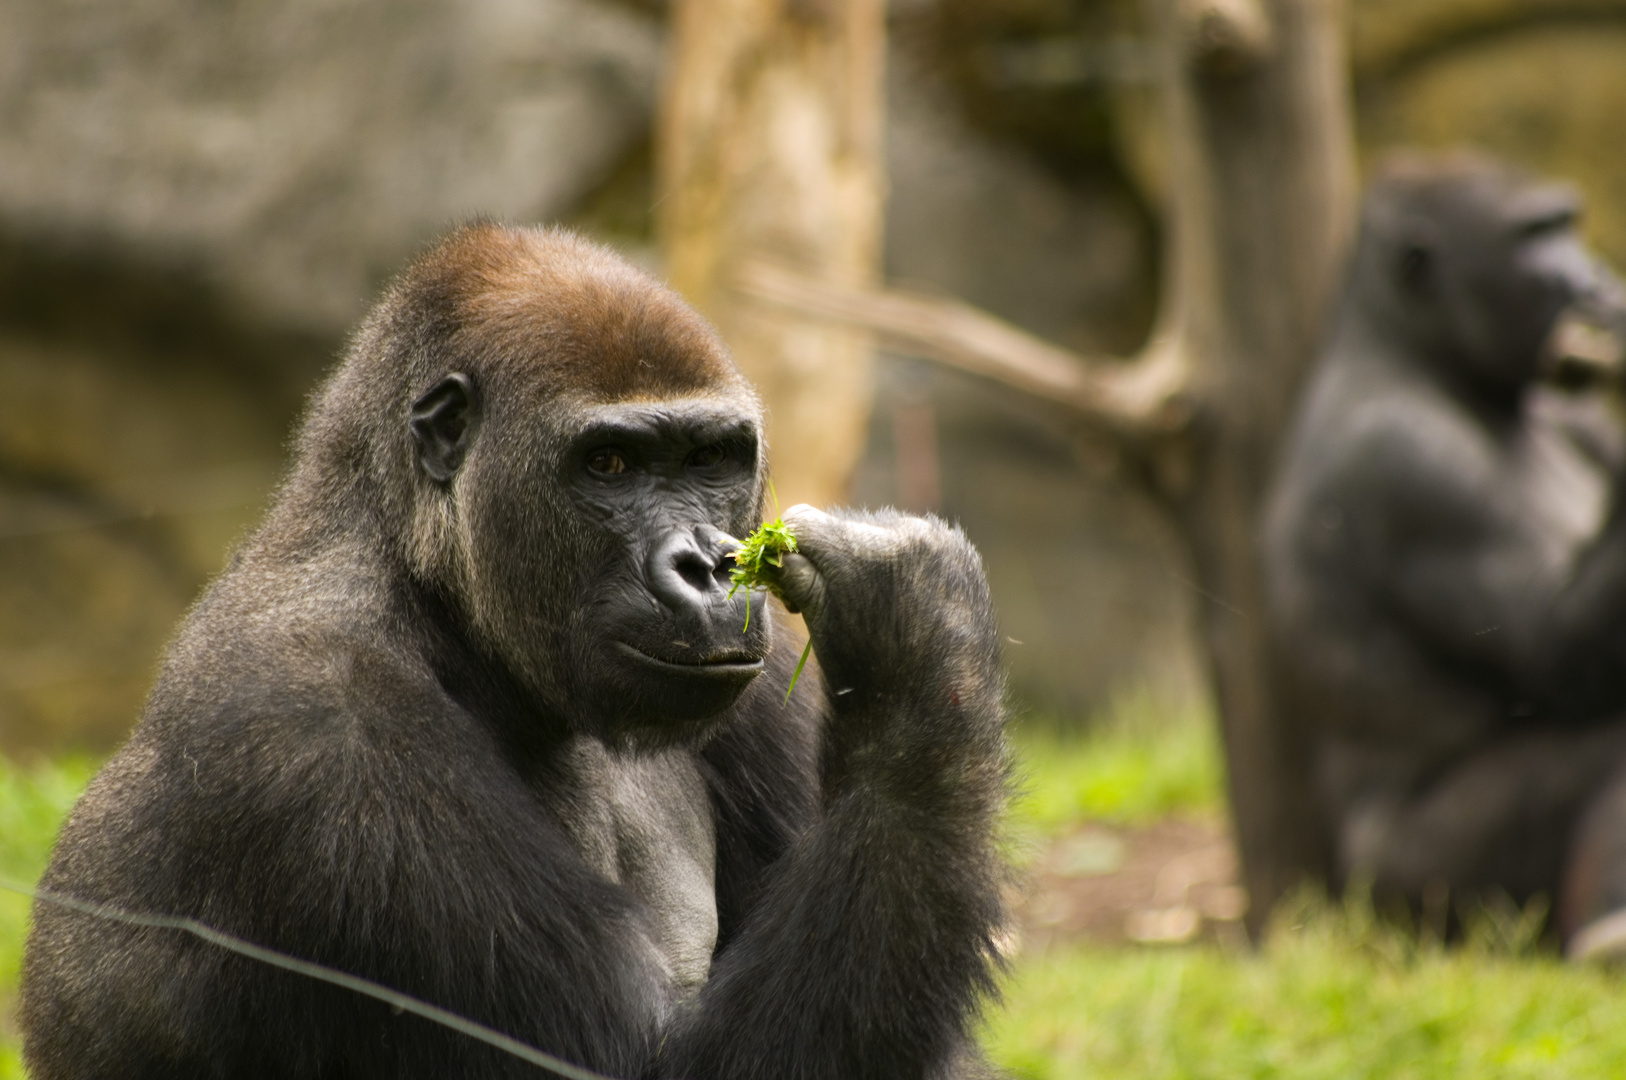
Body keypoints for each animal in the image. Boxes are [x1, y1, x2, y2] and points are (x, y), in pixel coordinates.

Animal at [19, 222, 1008, 1073]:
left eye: (710, 459)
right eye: (609, 465)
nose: (712, 568)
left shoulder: (751, 688)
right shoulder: (319, 736)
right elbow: (641, 1065)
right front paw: (919, 642)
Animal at [1261, 153, 1626, 956]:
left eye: (1566, 224)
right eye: (1535, 236)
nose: (1593, 282)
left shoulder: (1572, 406)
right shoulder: (1408, 465)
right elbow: (1553, 648)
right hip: (1422, 893)